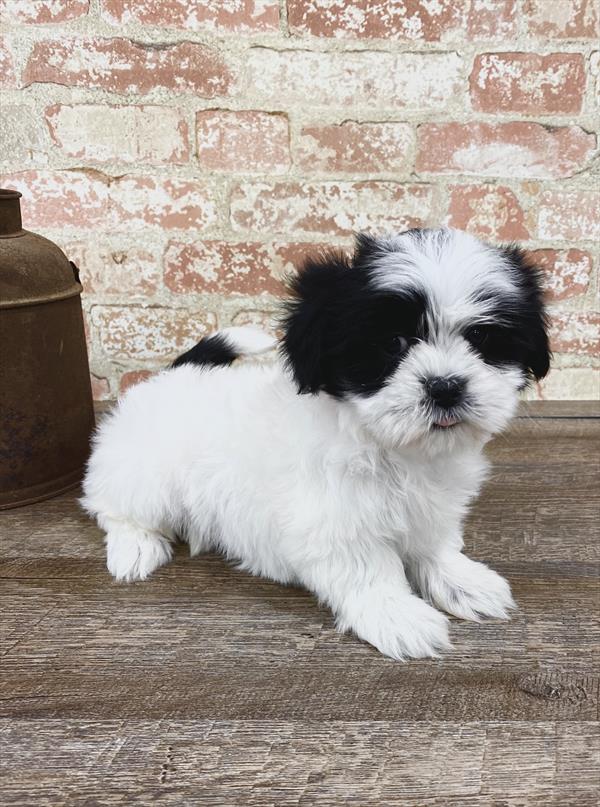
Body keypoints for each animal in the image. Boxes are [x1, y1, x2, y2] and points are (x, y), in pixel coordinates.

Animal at [82, 226, 552, 656]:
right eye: (392, 343)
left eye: (481, 338)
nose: (446, 386)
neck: (395, 449)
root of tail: (172, 375)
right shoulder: (334, 520)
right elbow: (368, 569)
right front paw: (397, 616)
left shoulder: (433, 505)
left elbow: (434, 543)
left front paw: (462, 581)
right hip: (145, 474)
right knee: (112, 506)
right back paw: (135, 547)